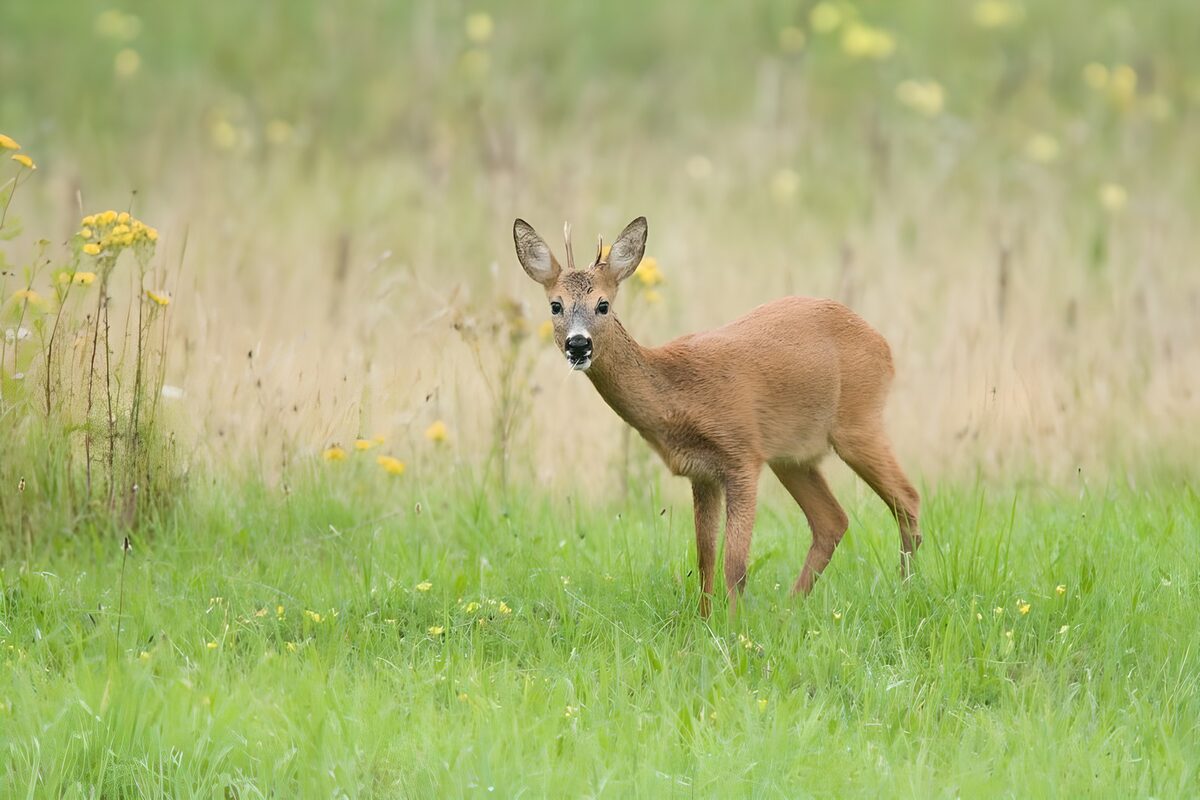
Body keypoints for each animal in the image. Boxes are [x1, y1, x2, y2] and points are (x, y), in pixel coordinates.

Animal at [513, 216, 921, 616]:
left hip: (858, 422)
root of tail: (883, 345)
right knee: (832, 520)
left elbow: (735, 563)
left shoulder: (742, 455)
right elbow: (705, 557)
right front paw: (706, 620)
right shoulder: (703, 472)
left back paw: (906, 592)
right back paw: (791, 609)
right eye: (555, 305)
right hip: (792, 458)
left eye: (603, 305)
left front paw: (736, 625)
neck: (678, 394)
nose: (578, 344)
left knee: (907, 498)